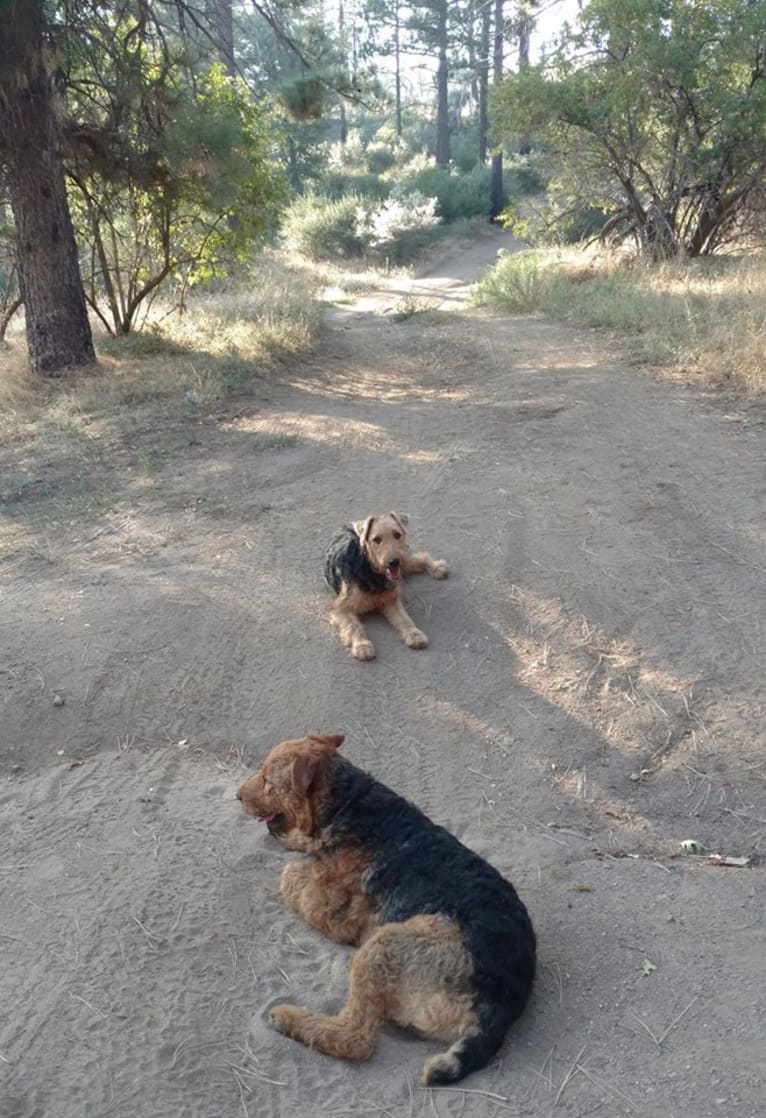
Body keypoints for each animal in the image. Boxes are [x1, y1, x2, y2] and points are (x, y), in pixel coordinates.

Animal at [235, 733, 534, 1082]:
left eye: (268, 780)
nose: (237, 796)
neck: (347, 803)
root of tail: (499, 1008)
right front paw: (297, 839)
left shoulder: (333, 913)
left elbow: (290, 877)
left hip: (385, 944)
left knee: (356, 1038)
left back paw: (288, 1017)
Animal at [322, 514, 447, 661]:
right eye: (376, 539)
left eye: (397, 535)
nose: (393, 562)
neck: (371, 571)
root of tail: (350, 523)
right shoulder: (340, 608)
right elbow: (354, 626)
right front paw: (362, 646)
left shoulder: (391, 600)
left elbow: (405, 619)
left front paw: (414, 634)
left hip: (404, 559)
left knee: (421, 556)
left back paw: (437, 567)